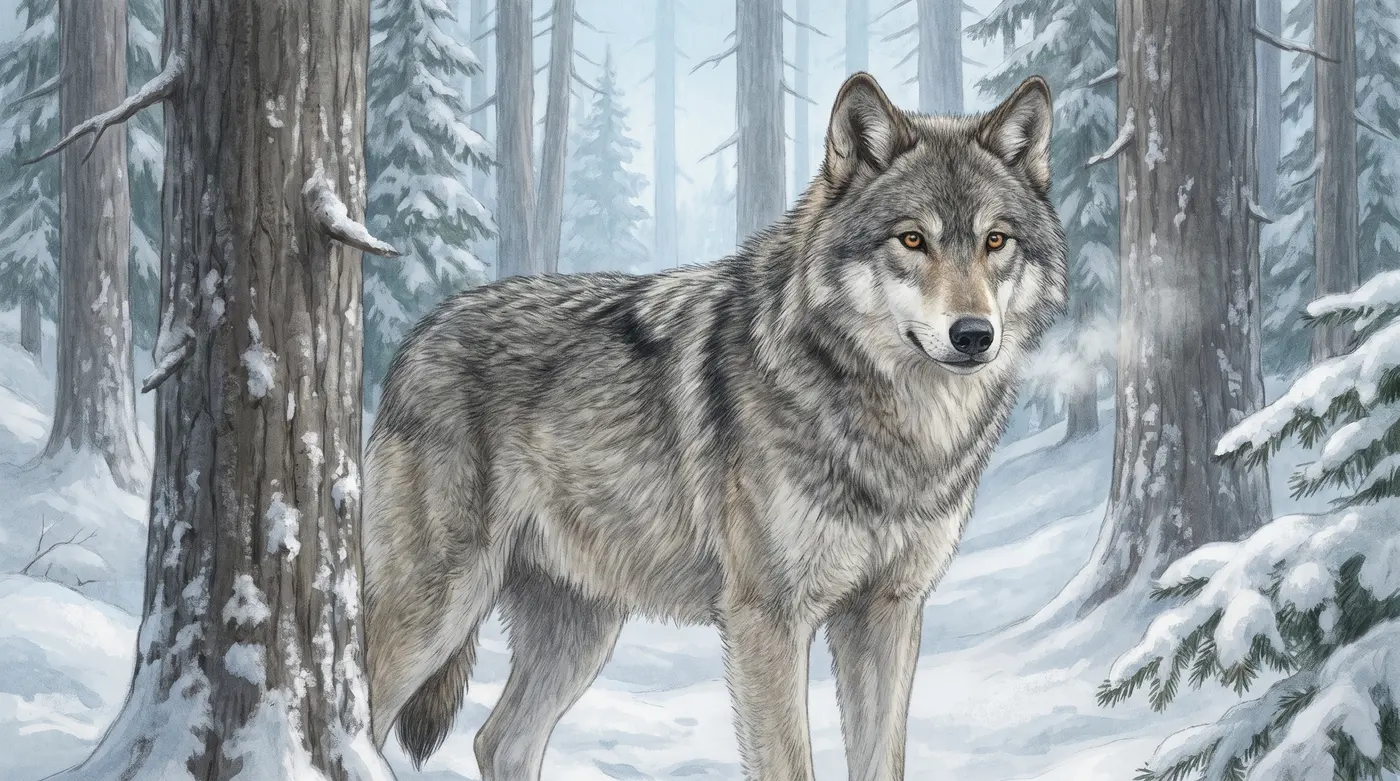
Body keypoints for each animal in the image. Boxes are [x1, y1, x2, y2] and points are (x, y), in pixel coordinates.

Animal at [363, 71, 1067, 780]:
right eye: (913, 240)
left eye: (996, 241)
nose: (974, 335)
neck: (896, 430)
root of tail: (415, 336)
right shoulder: (768, 617)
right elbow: (788, 764)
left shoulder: (887, 612)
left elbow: (880, 761)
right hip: (435, 613)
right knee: (371, 711)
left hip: (581, 630)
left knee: (497, 740)